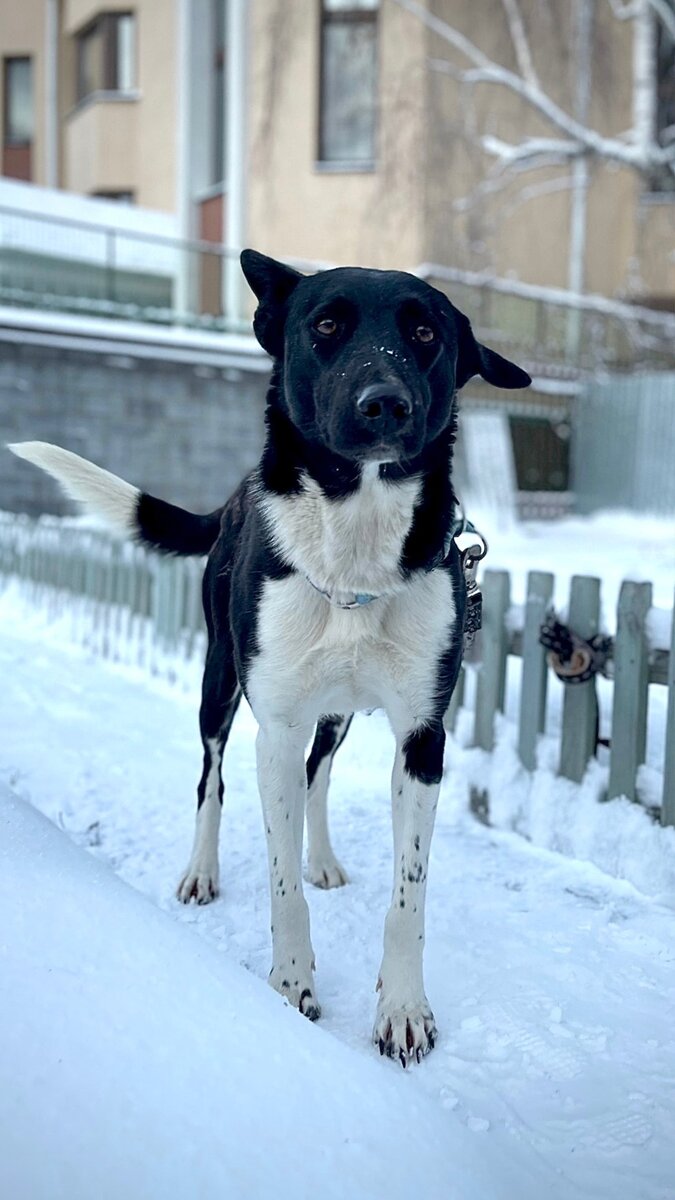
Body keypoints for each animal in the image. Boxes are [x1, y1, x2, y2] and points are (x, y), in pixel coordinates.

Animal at [7, 250, 528, 1060]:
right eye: (326, 325)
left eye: (424, 333)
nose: (385, 405)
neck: (354, 550)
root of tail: (231, 498)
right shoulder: (273, 727)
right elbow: (281, 885)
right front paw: (289, 988)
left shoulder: (422, 737)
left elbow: (407, 894)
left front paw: (403, 1009)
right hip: (219, 683)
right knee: (210, 779)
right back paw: (200, 871)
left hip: (337, 712)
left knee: (319, 772)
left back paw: (322, 858)